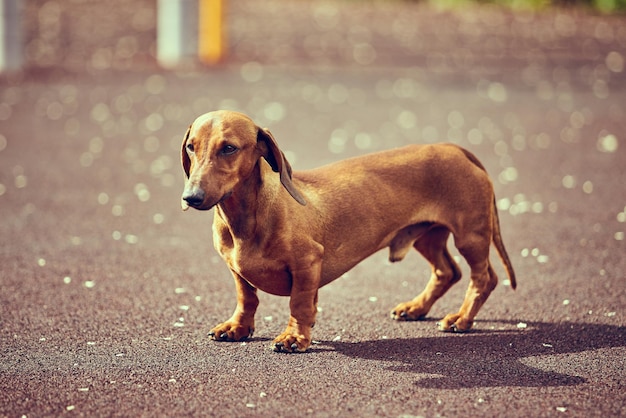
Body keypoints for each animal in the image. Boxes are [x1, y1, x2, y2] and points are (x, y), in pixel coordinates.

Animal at [179, 109, 512, 352]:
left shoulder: (307, 263)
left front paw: (294, 337)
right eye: (191, 147)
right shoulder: (236, 270)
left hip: (470, 235)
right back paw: (415, 308)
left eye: (229, 148)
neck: (247, 218)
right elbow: (246, 298)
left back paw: (462, 319)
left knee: (484, 278)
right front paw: (237, 327)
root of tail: (453, 148)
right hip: (427, 237)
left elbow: (299, 304)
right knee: (447, 271)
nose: (191, 197)